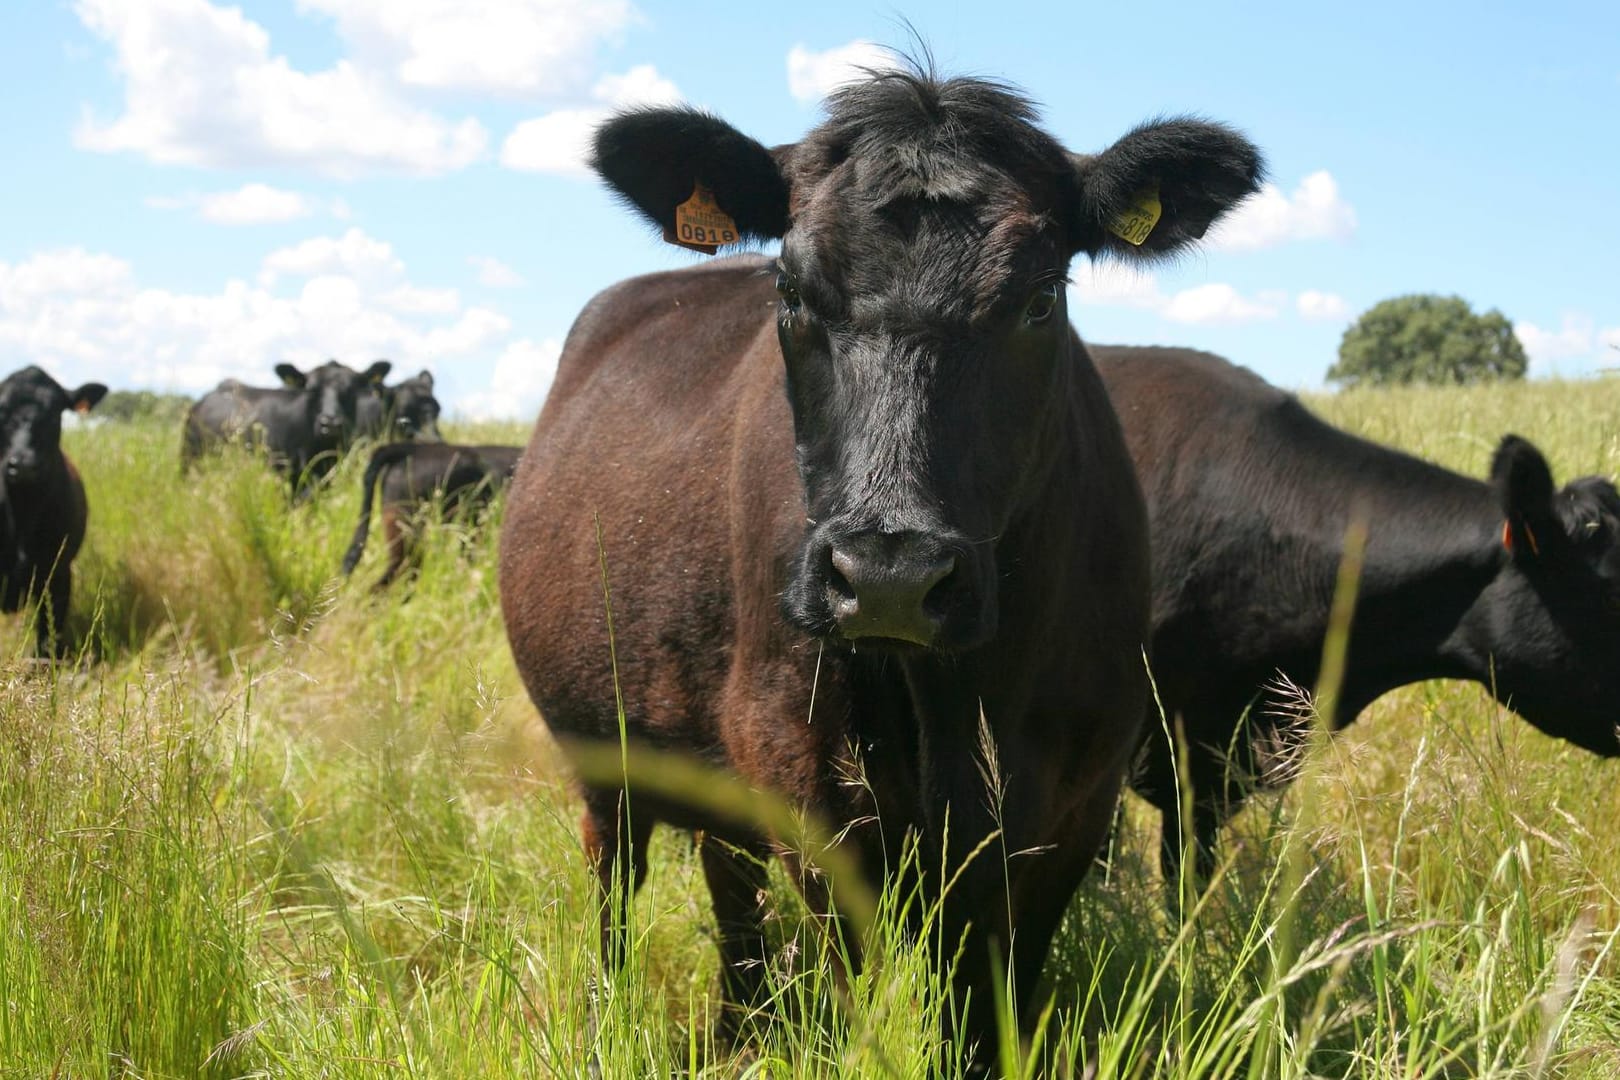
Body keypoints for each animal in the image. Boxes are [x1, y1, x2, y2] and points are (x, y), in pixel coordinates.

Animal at [498, 67, 1257, 1075]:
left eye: (1040, 298)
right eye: (788, 290)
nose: (890, 576)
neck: (959, 700)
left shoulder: (1078, 792)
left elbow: (997, 990)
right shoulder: (800, 766)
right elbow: (866, 975)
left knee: (729, 884)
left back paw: (742, 1029)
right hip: (603, 750)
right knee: (619, 879)